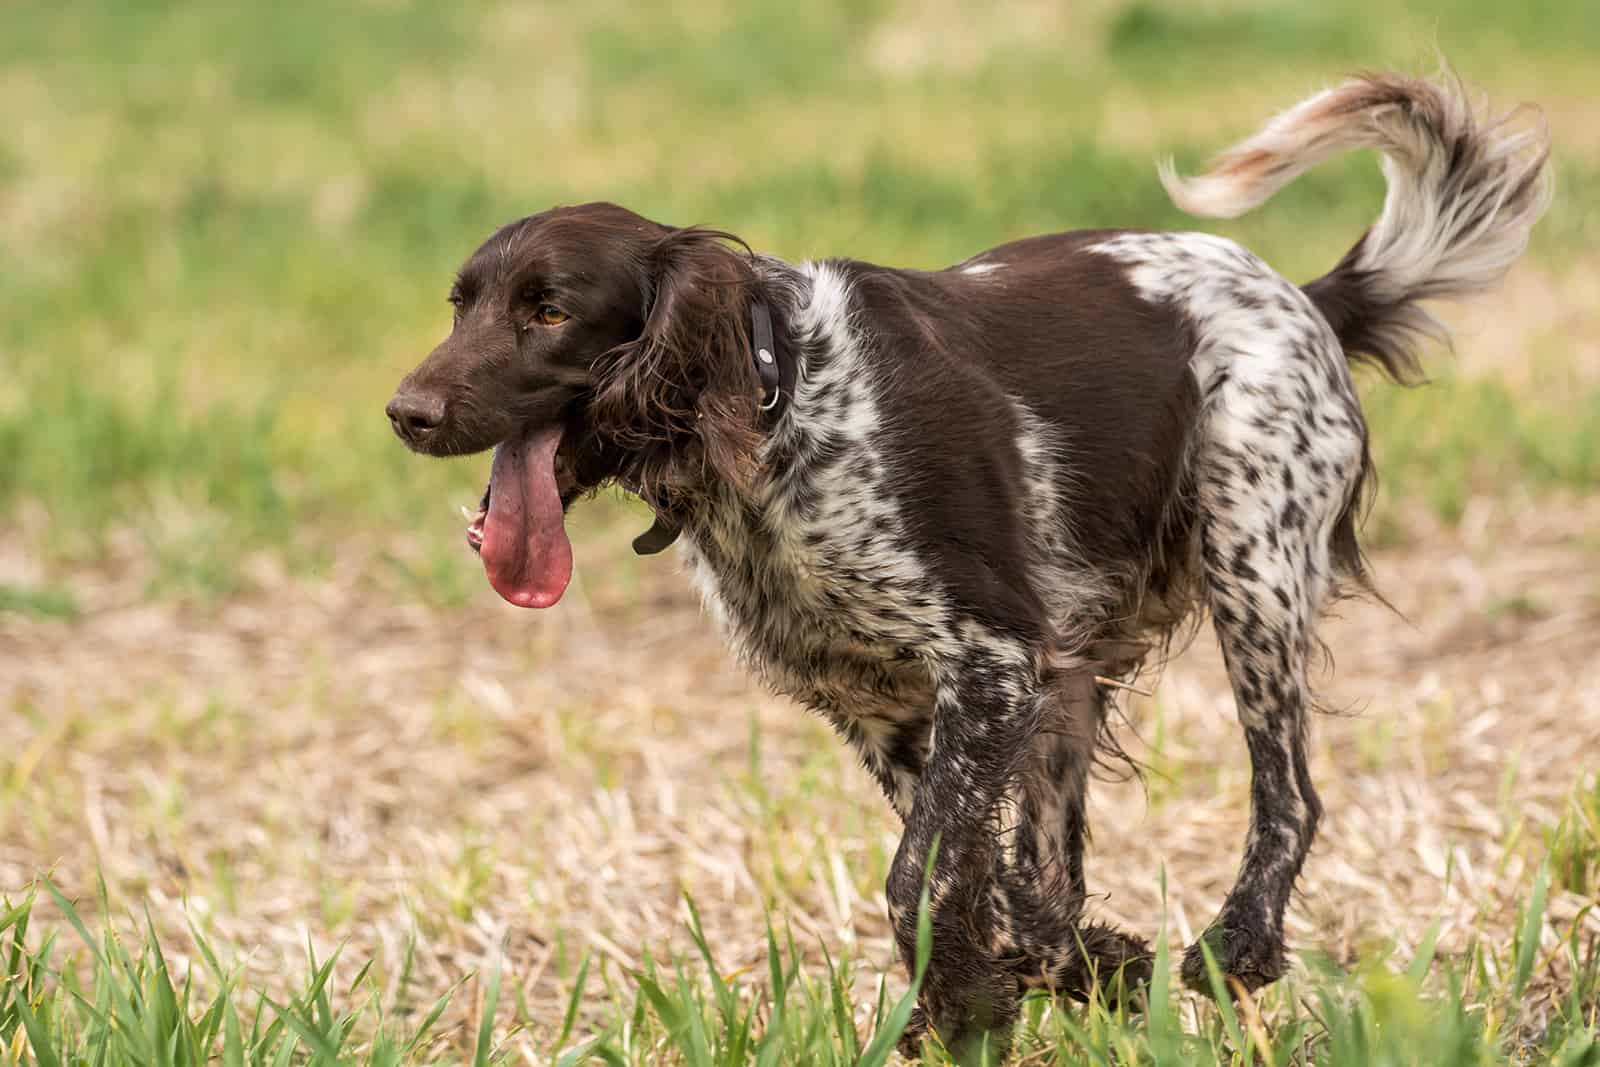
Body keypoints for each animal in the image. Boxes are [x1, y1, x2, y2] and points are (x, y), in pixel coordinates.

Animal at [387, 70, 1548, 1055]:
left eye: (549, 308)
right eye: (461, 302)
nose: (406, 412)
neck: (779, 397)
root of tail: (1305, 296)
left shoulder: (990, 663)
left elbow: (919, 880)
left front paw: (984, 999)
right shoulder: (900, 706)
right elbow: (983, 888)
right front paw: (1033, 983)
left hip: (1249, 562)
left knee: (1288, 793)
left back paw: (1239, 943)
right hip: (1075, 680)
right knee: (1056, 867)